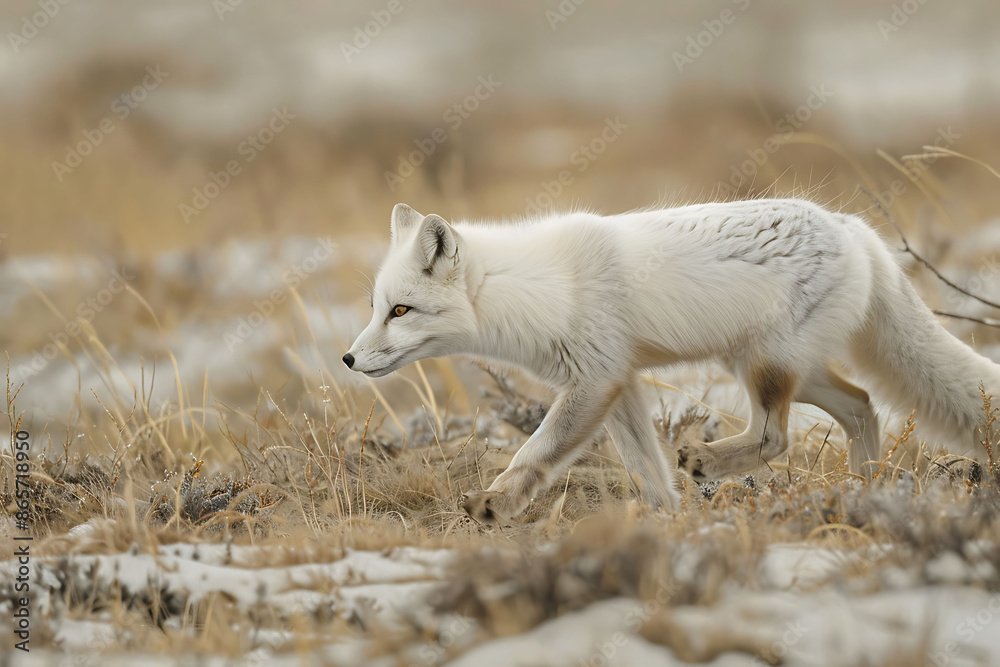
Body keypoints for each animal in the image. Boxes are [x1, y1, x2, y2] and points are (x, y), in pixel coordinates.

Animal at [343, 199, 1000, 523]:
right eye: (377, 307)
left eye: (401, 310)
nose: (348, 358)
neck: (538, 289)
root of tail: (852, 228)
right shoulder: (618, 384)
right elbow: (647, 470)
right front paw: (670, 522)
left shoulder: (596, 380)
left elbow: (536, 452)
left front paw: (496, 505)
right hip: (786, 368)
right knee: (863, 407)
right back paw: (864, 490)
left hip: (765, 367)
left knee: (776, 437)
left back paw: (712, 459)